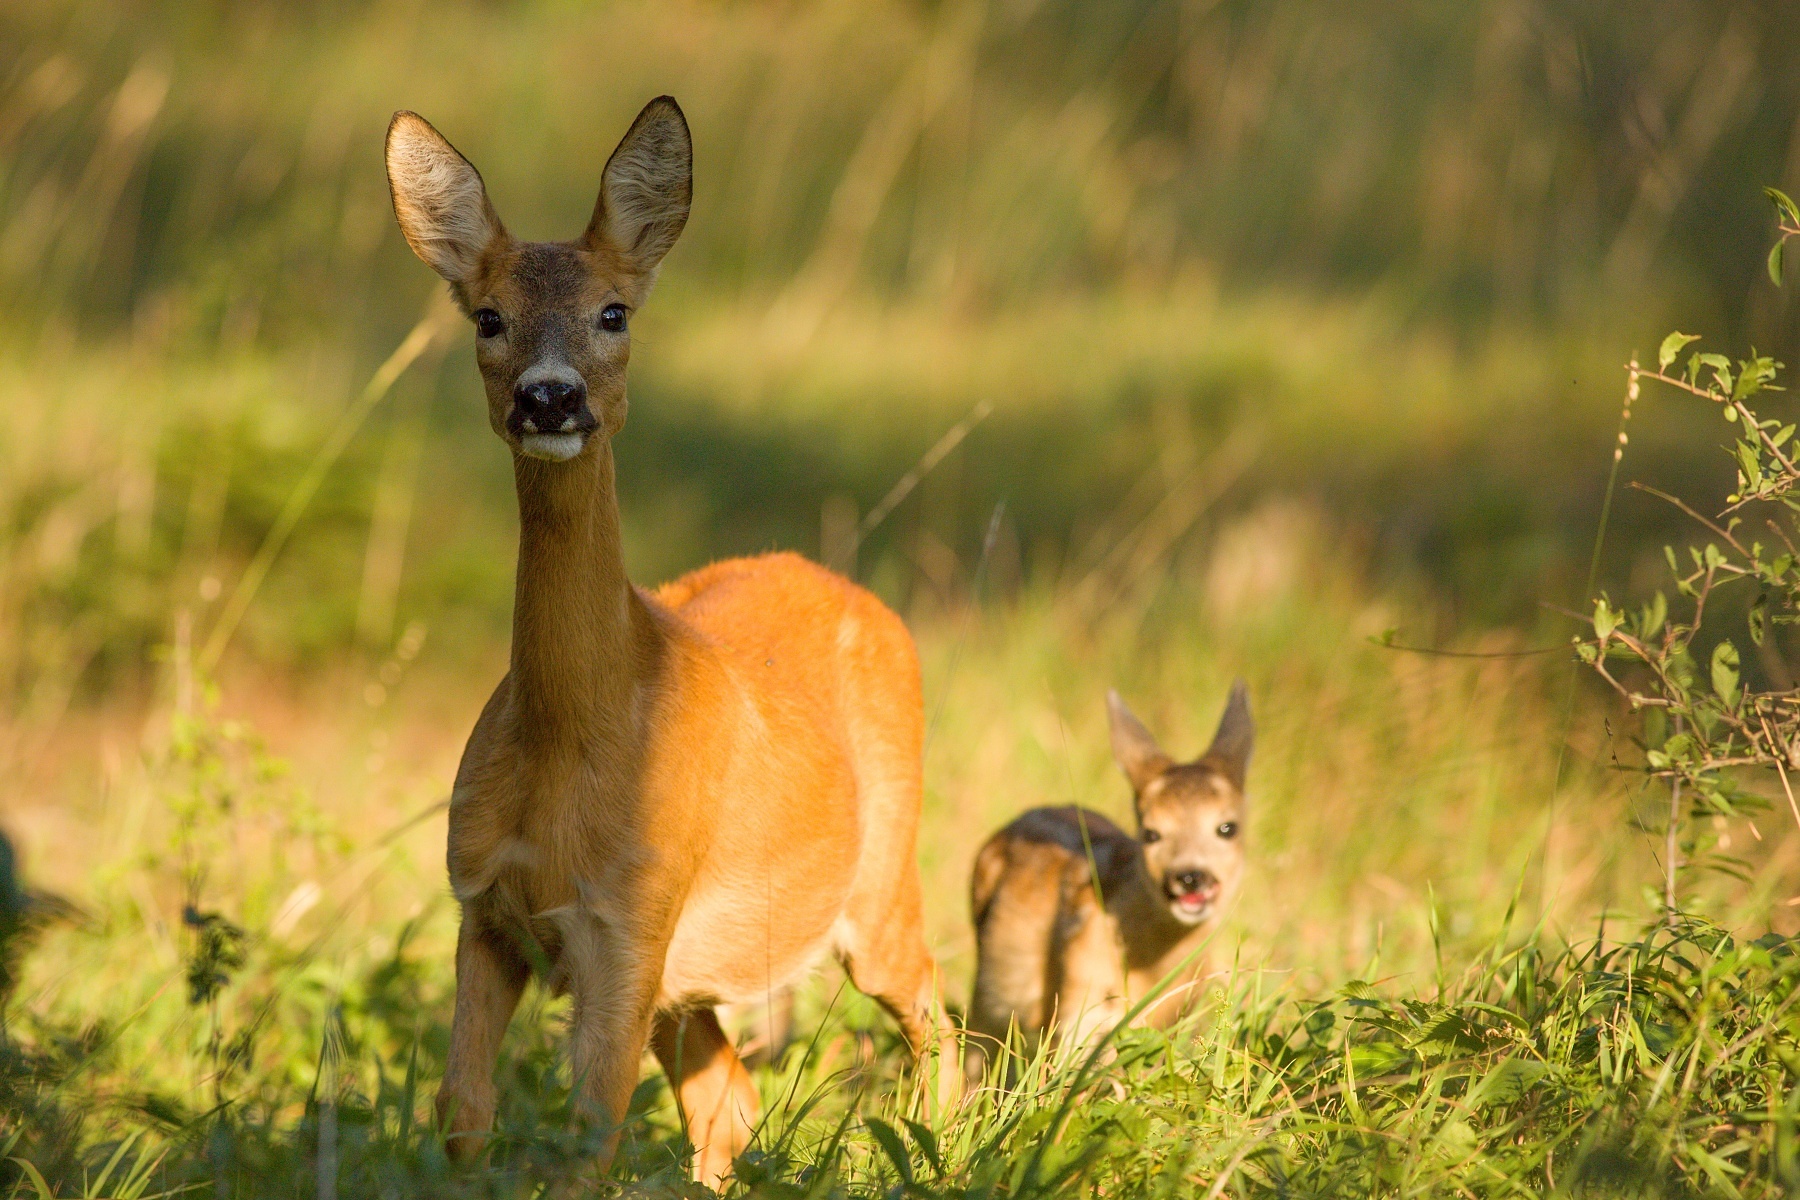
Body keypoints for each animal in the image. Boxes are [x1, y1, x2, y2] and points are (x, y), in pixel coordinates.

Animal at [385, 98, 957, 1187]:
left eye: (615, 313)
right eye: (487, 316)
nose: (550, 397)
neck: (570, 747)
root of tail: (850, 586)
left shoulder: (631, 920)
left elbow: (588, 1137)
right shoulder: (484, 908)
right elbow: (463, 1113)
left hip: (880, 879)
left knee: (936, 1017)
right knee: (730, 1096)